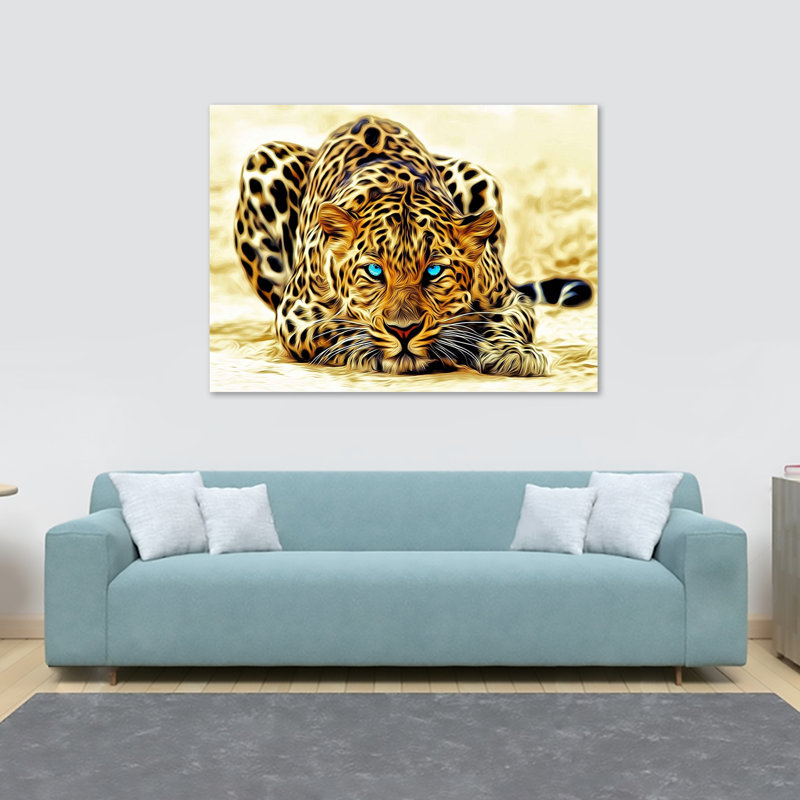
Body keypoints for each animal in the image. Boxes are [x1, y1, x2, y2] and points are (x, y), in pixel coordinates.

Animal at [233, 115, 592, 377]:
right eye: (374, 271)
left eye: (434, 271)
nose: (403, 331)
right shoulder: (295, 314)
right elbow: (335, 327)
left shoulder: (510, 300)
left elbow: (503, 321)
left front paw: (513, 352)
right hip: (263, 160)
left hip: (477, 174)